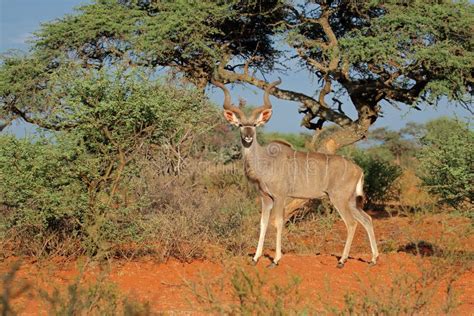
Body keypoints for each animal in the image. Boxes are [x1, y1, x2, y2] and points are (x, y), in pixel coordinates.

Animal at [213, 78, 380, 266]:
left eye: (255, 125)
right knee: (367, 219)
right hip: (350, 201)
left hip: (339, 199)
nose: (248, 136)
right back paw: (373, 259)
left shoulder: (280, 196)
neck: (265, 160)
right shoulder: (266, 198)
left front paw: (275, 260)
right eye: (241, 125)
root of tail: (359, 169)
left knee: (351, 223)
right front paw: (255, 258)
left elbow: (278, 222)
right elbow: (263, 223)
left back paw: (342, 261)